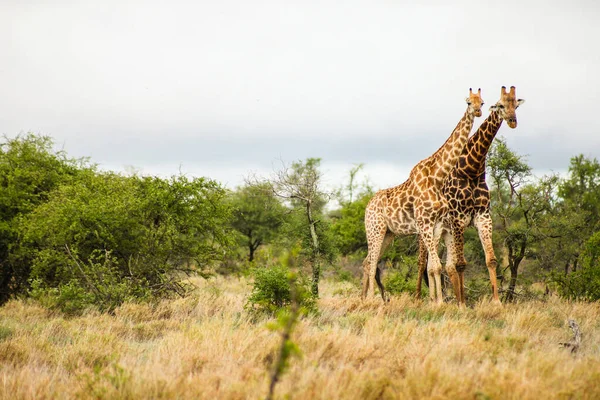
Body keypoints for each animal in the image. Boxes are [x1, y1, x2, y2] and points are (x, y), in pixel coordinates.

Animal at [364, 88, 486, 304]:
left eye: (483, 102)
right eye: (468, 102)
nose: (478, 111)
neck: (437, 176)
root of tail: (367, 206)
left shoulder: (436, 225)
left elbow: (434, 266)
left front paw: (437, 301)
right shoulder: (425, 223)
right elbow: (435, 265)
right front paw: (437, 303)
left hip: (387, 233)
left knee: (369, 261)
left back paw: (368, 298)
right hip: (374, 230)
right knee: (370, 264)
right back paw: (371, 300)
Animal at [418, 85, 524, 304]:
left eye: (516, 105)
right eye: (500, 105)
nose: (512, 121)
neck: (472, 170)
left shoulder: (483, 216)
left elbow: (490, 260)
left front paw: (496, 302)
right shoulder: (458, 218)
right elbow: (460, 264)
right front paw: (462, 304)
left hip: (445, 232)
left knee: (443, 265)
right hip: (427, 230)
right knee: (424, 263)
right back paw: (425, 300)